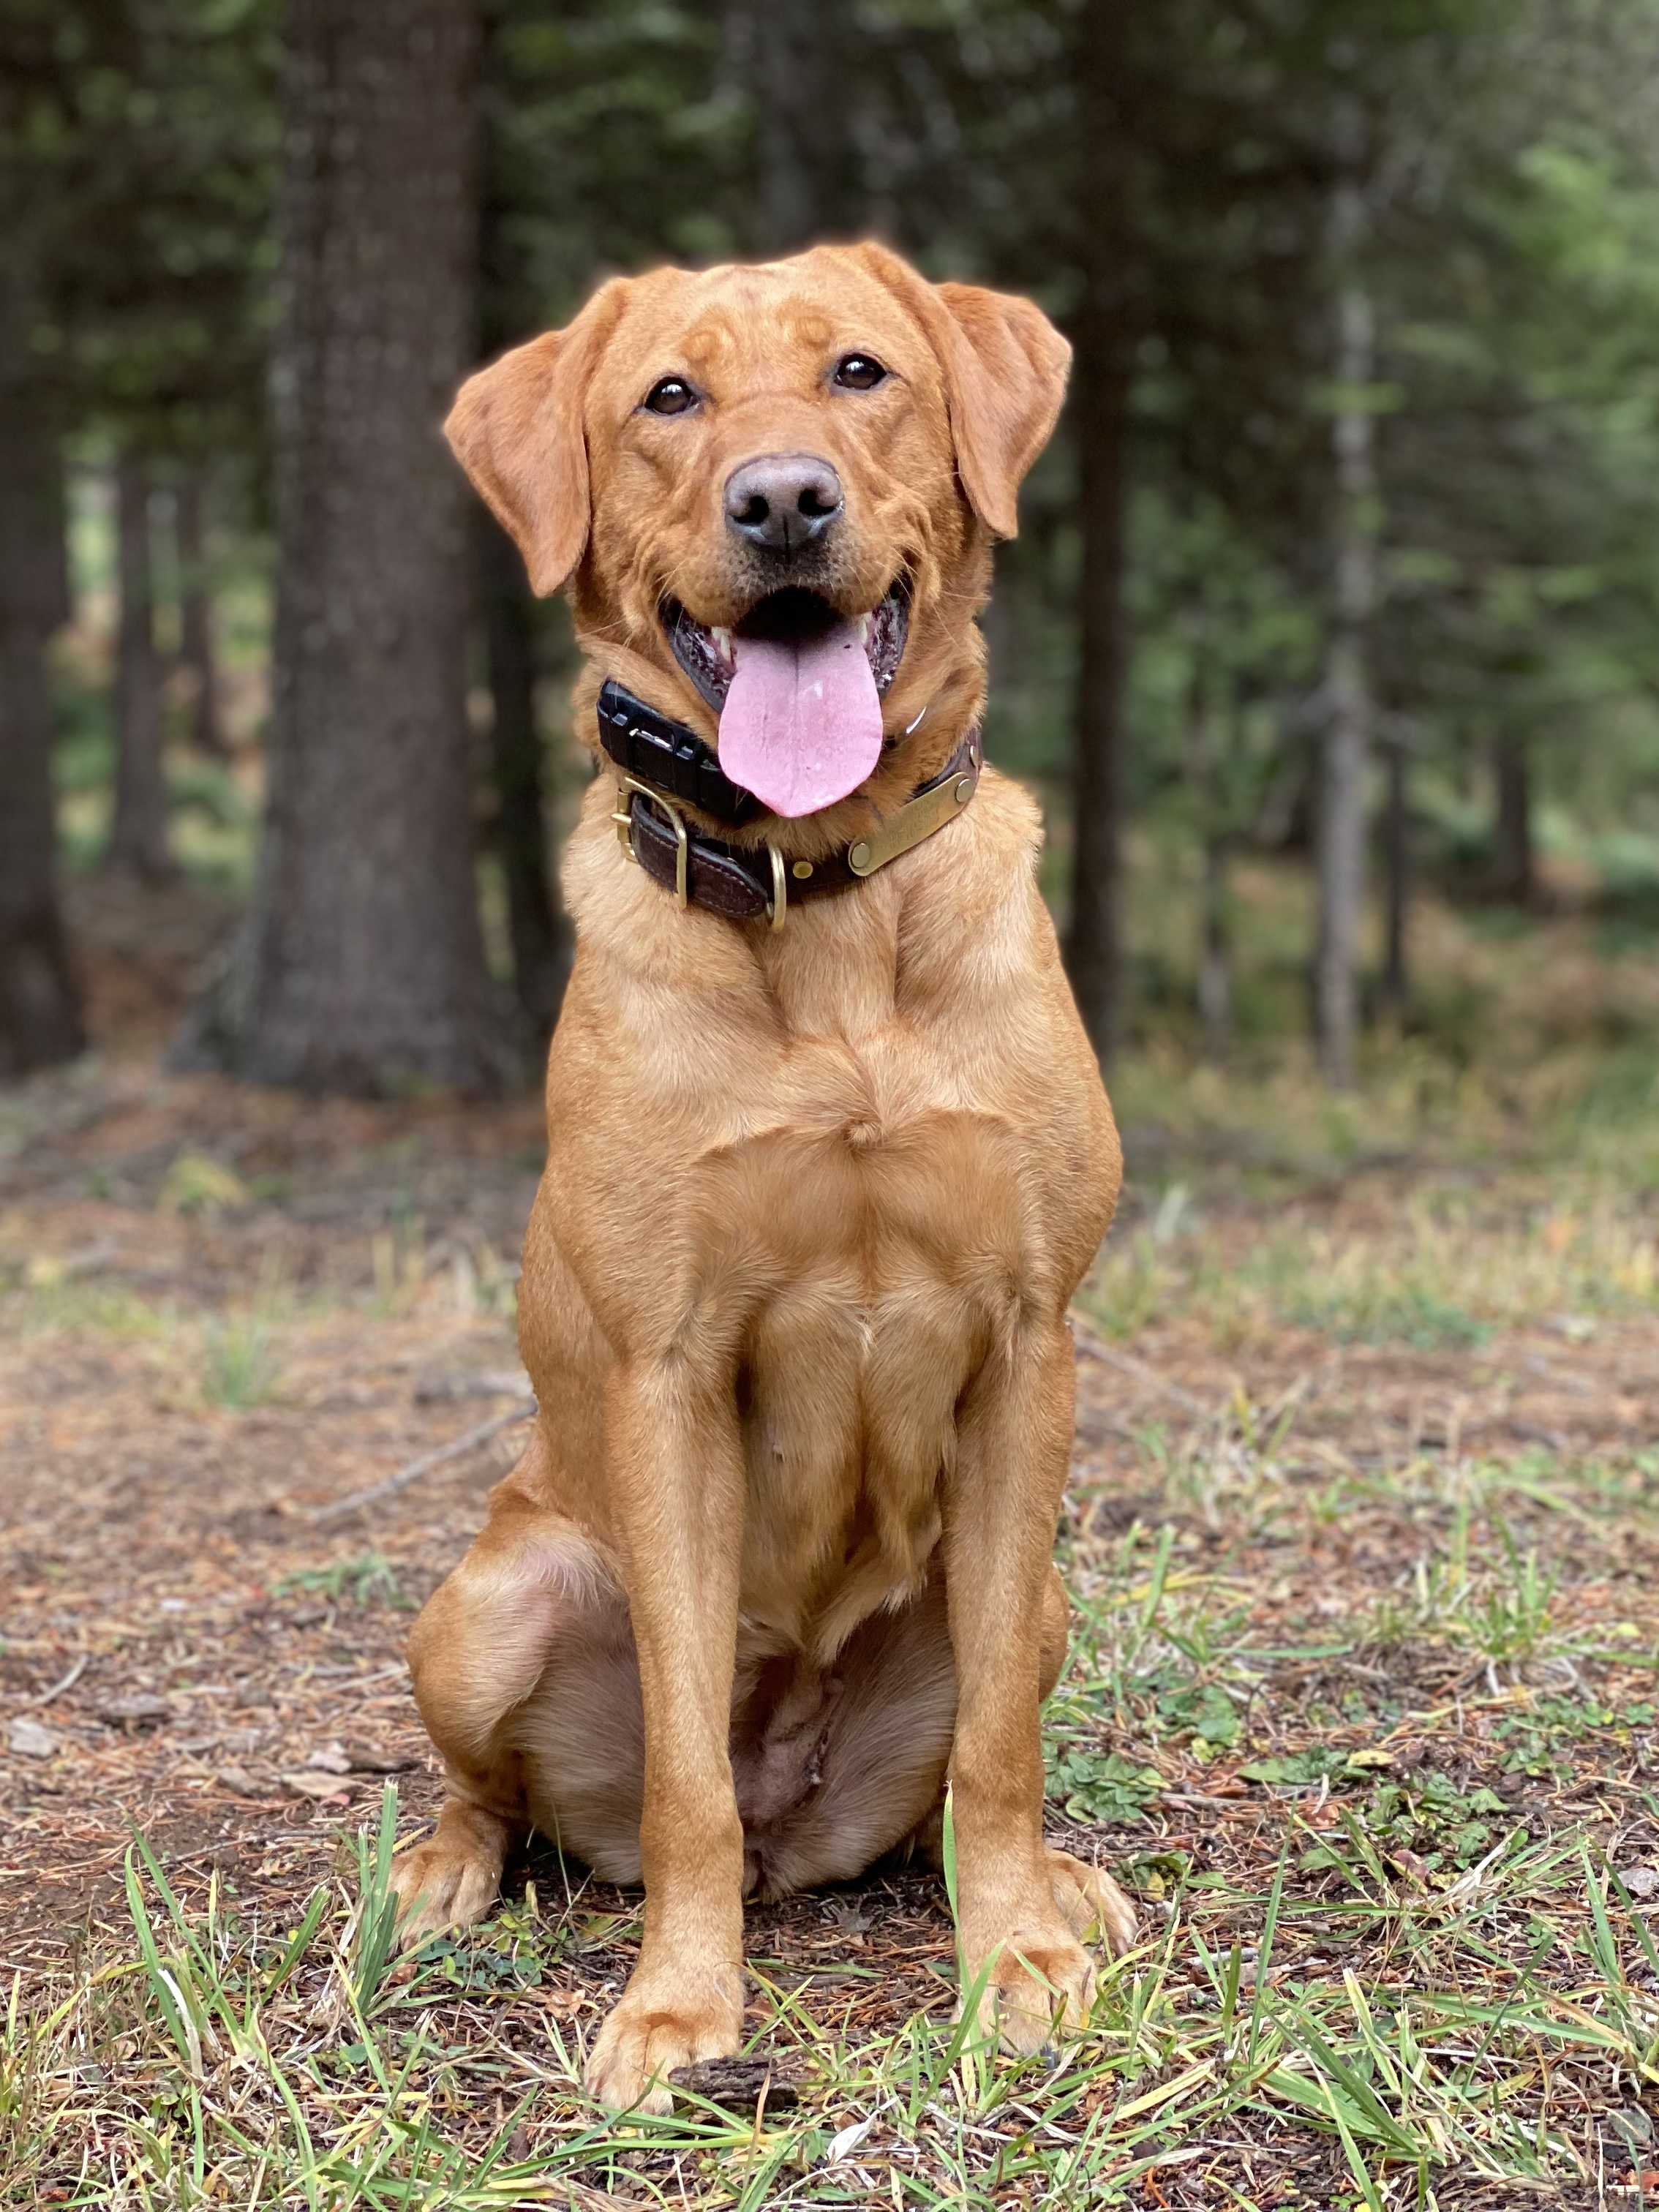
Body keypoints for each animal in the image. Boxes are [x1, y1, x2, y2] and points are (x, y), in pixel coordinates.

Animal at [391, 238, 1141, 2105]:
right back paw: (442, 1870)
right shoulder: (670, 1376)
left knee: (957, 1766)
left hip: (1042, 1592)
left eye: (861, 371)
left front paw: (1016, 1954)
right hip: (489, 1603)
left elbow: (1000, 1752)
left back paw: (1059, 1884)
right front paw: (680, 2008)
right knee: (513, 1789)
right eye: (671, 396)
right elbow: (680, 1775)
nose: (785, 500)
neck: (826, 908)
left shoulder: (1030, 1344)